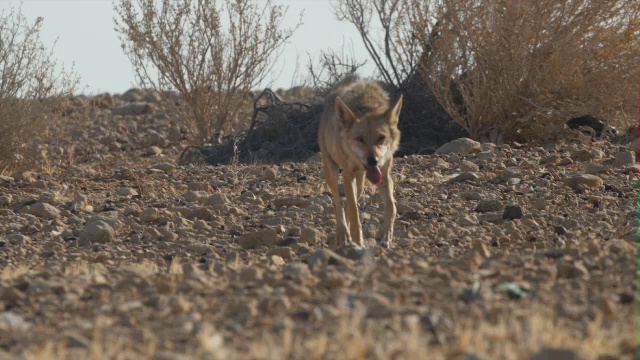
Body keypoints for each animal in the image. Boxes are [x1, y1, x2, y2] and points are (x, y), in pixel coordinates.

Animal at [318, 76, 402, 249]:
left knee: (351, 203)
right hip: (332, 173)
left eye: (381, 138)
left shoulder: (384, 174)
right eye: (359, 139)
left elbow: (392, 206)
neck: (366, 107)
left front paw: (385, 235)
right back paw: (343, 234)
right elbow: (354, 213)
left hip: (361, 184)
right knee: (338, 204)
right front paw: (357, 241)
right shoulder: (348, 175)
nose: (373, 161)